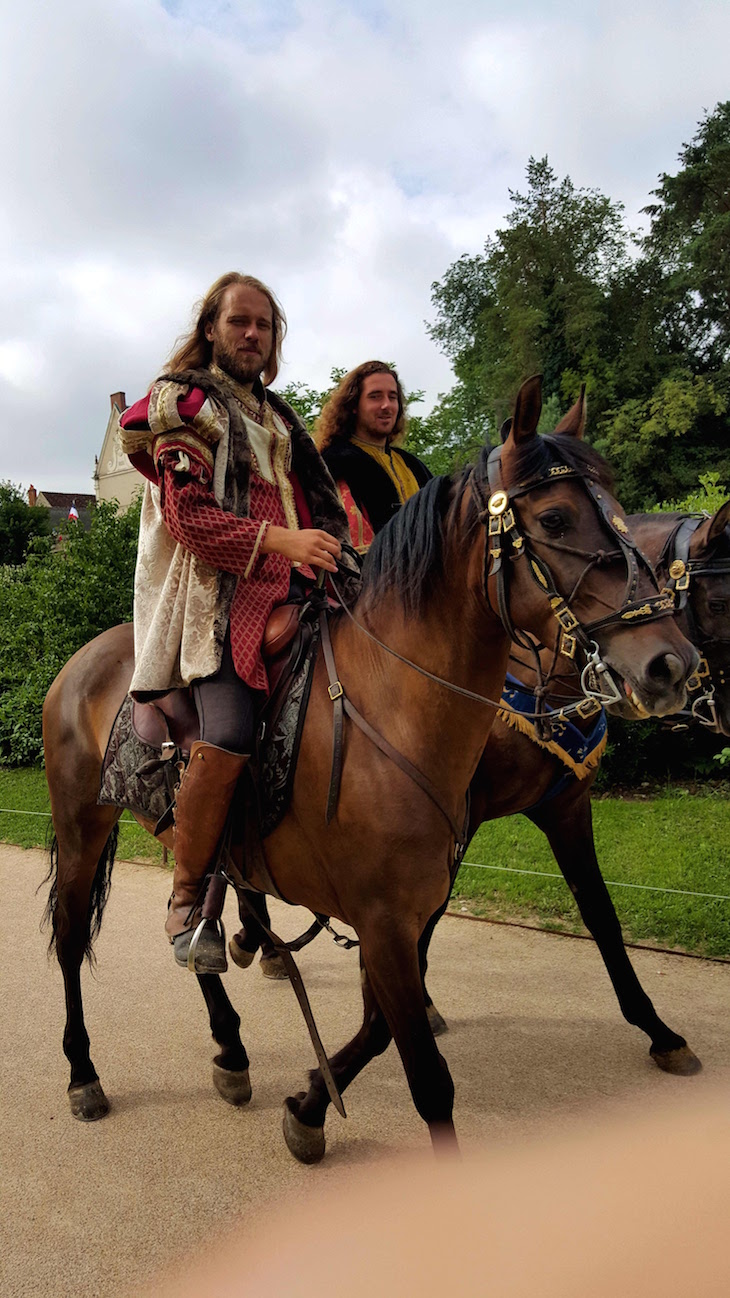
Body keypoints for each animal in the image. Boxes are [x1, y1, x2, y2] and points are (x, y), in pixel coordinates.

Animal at [42, 376, 696, 1157]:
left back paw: (230, 1044)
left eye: (623, 513)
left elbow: (400, 1017)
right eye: (557, 517)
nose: (671, 664)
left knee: (197, 920)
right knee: (72, 938)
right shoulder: (386, 919)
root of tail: (84, 659)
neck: (396, 707)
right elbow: (426, 1075)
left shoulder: (443, 887)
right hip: (82, 827)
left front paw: (309, 1104)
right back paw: (84, 1074)